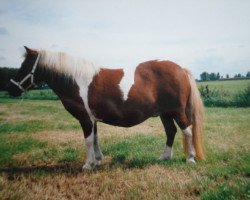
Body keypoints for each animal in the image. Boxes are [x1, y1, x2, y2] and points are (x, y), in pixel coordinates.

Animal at [8, 47, 205, 170]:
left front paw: (88, 165)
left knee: (187, 131)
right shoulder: (92, 119)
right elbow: (95, 139)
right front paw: (97, 161)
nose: (11, 89)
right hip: (165, 114)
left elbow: (88, 141)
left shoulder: (85, 119)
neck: (77, 80)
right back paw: (164, 157)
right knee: (171, 131)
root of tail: (181, 69)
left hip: (177, 111)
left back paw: (190, 158)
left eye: (25, 65)